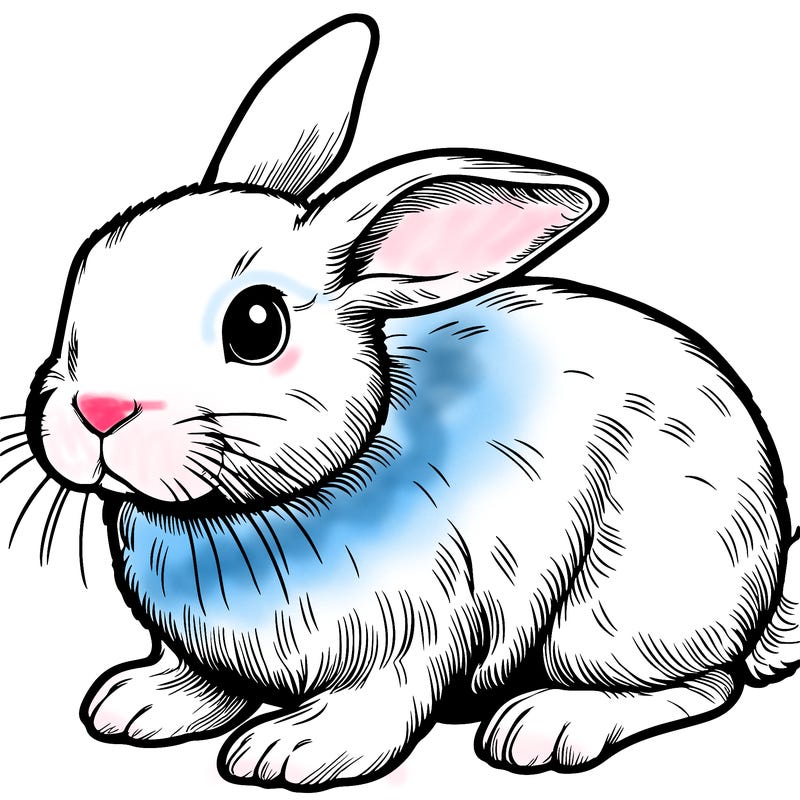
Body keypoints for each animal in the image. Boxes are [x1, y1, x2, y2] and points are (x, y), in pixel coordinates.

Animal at [15, 11, 800, 791]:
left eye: (257, 326)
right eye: (84, 275)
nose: (100, 410)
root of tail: (766, 587)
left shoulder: (419, 632)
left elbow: (379, 703)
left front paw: (291, 750)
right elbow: (205, 682)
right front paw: (138, 703)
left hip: (622, 613)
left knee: (703, 684)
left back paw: (547, 725)